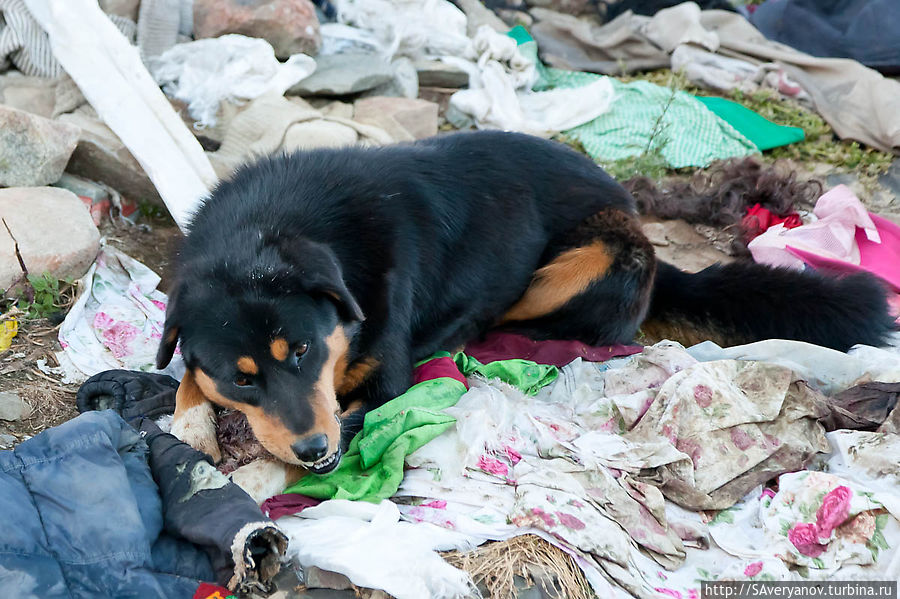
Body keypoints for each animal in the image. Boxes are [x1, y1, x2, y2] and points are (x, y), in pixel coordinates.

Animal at [158, 130, 896, 492]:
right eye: (245, 376)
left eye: (305, 351)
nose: (315, 449)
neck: (267, 226)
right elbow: (185, 376)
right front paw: (194, 427)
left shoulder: (379, 390)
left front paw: (252, 477)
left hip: (590, 257)